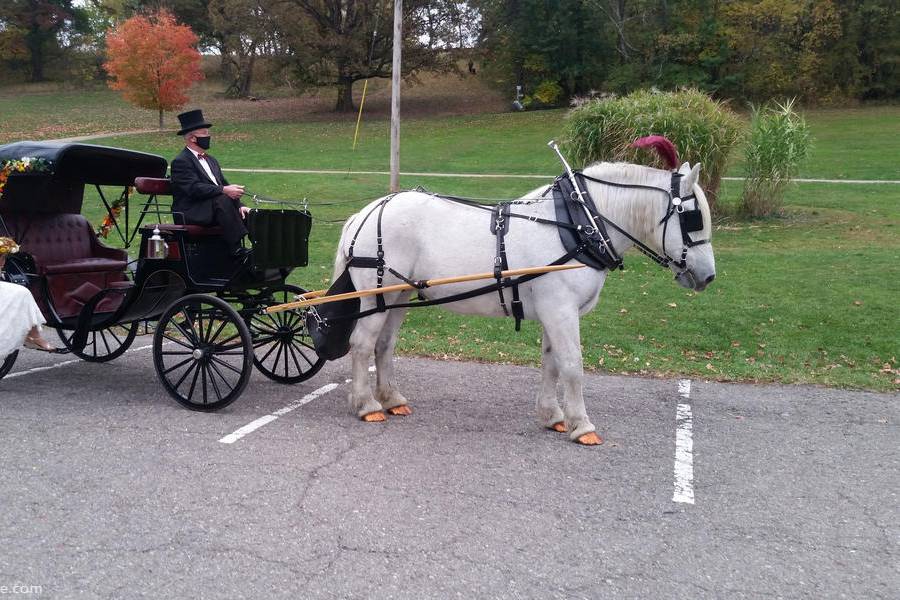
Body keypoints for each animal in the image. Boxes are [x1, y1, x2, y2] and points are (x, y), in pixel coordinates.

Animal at [330, 159, 716, 446]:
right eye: (693, 219)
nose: (709, 276)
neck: (578, 226)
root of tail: (366, 212)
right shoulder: (561, 311)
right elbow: (572, 365)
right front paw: (582, 425)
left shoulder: (554, 312)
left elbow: (551, 364)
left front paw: (553, 416)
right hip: (375, 294)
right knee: (362, 344)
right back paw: (366, 404)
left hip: (398, 295)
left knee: (384, 345)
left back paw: (391, 399)